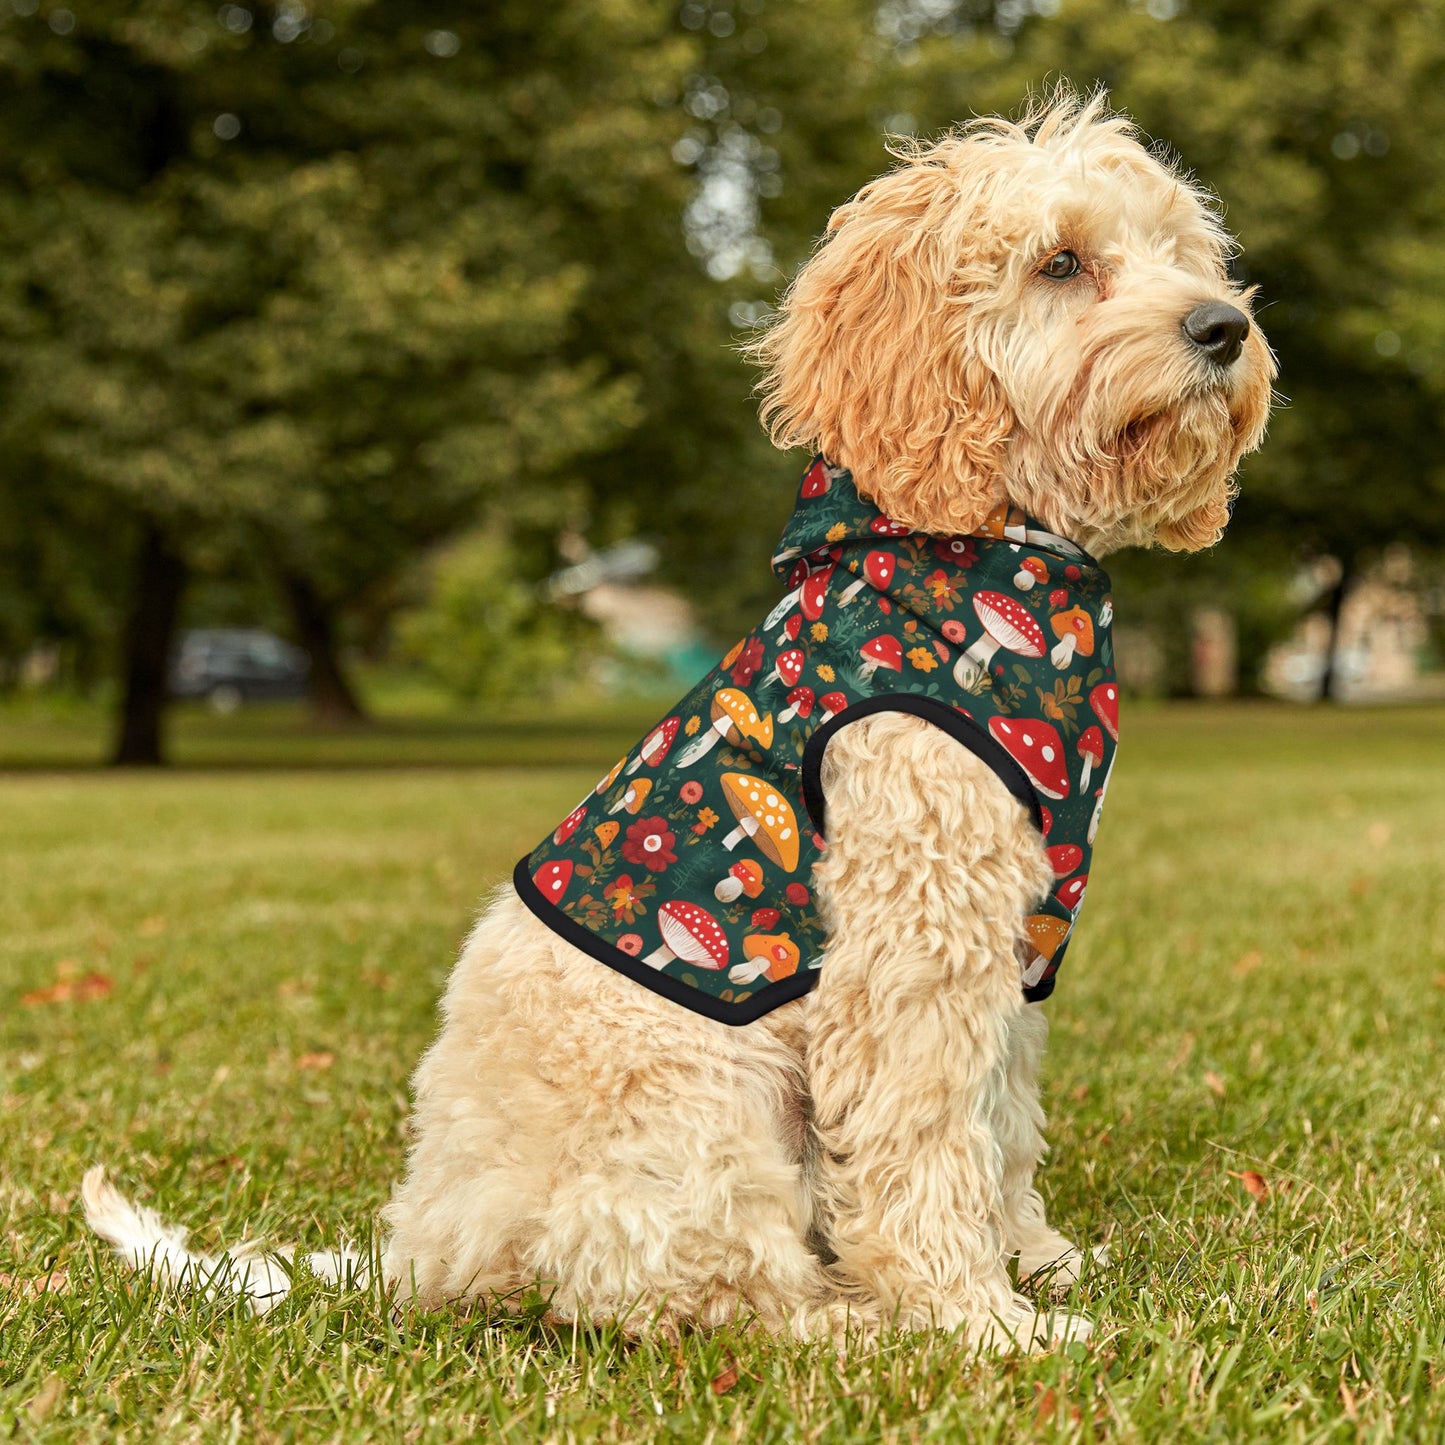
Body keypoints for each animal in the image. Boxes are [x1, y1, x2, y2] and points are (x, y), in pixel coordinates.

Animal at [84, 90, 1271, 1352]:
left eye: (1180, 252)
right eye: (1059, 262)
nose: (1222, 327)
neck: (976, 549)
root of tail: (423, 1248)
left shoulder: (1011, 939)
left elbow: (998, 1120)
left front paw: (1035, 1260)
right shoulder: (912, 938)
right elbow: (924, 1137)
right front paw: (976, 1318)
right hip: (702, 1105)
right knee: (698, 1291)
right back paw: (852, 1322)